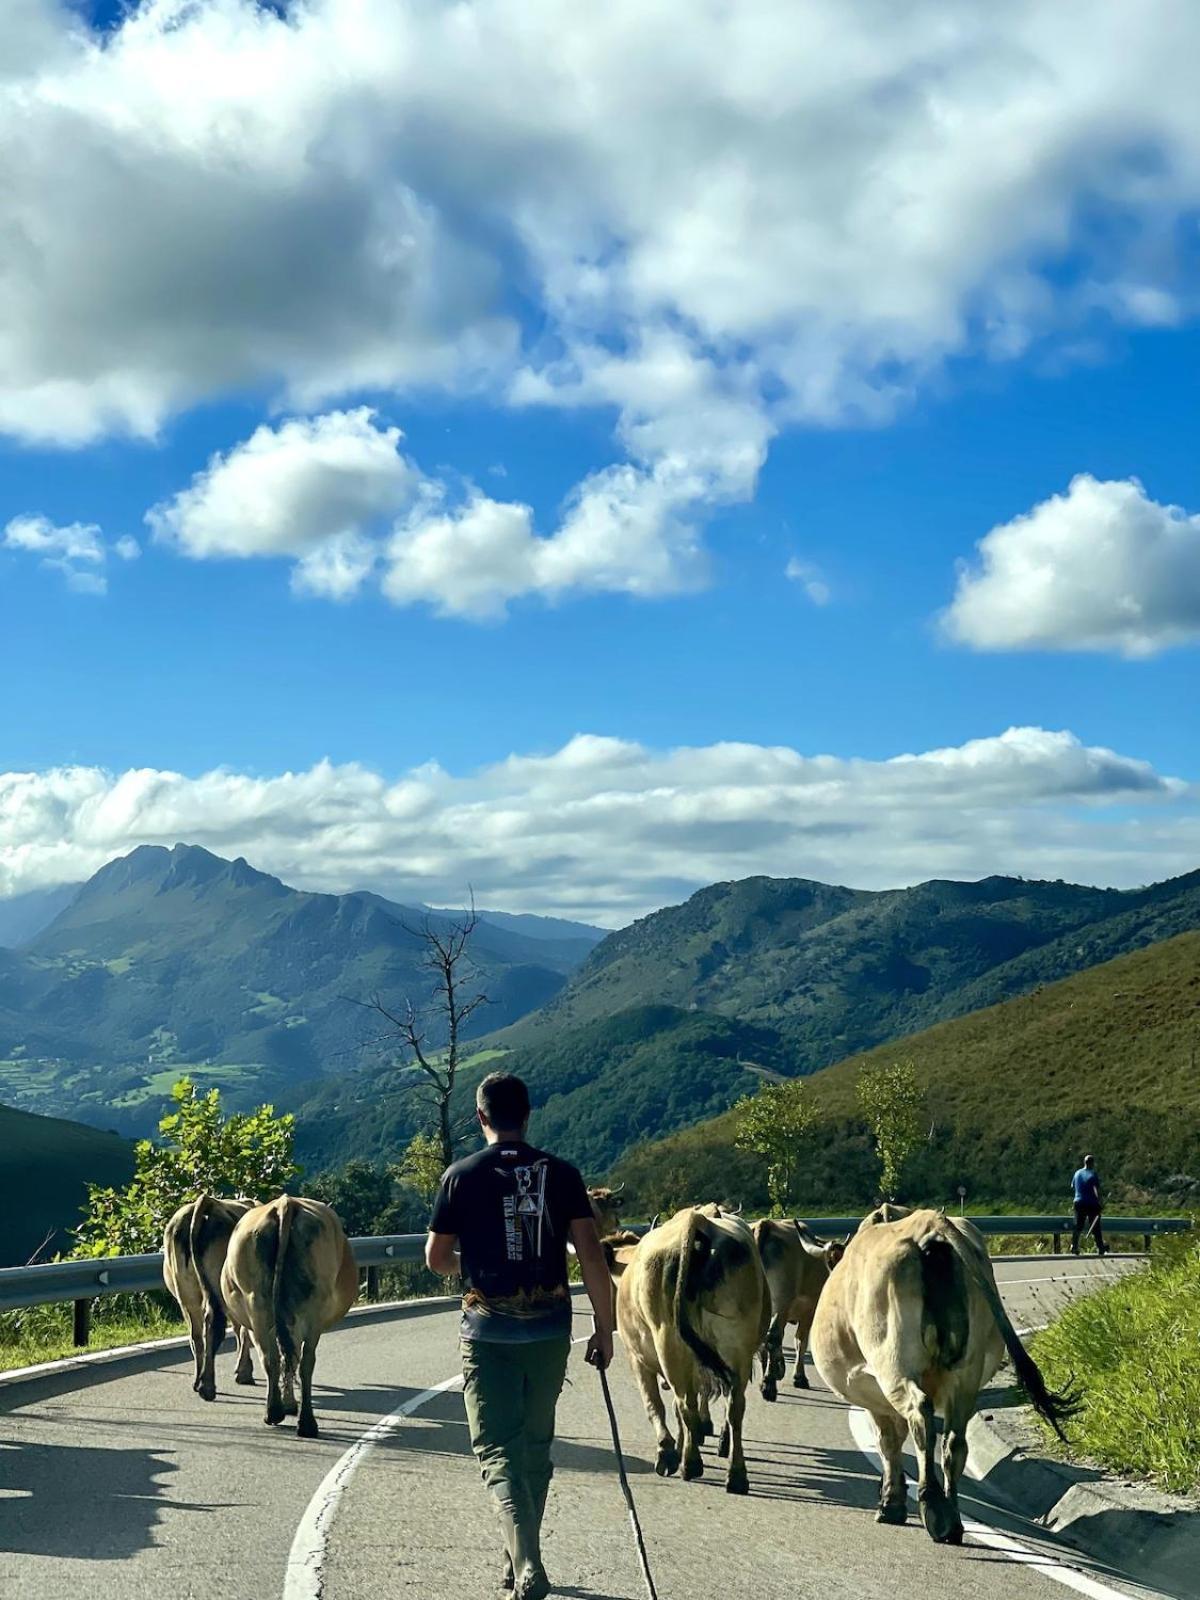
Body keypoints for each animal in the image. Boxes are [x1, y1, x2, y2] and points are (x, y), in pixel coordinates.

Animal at [163, 1190, 257, 1401]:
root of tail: (205, 1203)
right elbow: (244, 1330)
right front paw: (244, 1371)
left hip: (186, 1293)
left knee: (196, 1334)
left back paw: (198, 1381)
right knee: (213, 1325)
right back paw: (207, 1387)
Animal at [220, 1190, 360, 1440]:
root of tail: (286, 1204)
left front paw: (287, 1403)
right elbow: (291, 1357)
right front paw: (289, 1403)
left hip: (257, 1303)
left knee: (273, 1357)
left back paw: (277, 1413)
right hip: (310, 1307)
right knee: (302, 1360)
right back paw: (302, 1421)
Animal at [614, 1203, 774, 1491]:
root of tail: (700, 1219)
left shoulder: (636, 1358)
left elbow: (654, 1404)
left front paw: (668, 1451)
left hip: (669, 1340)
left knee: (684, 1403)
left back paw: (689, 1463)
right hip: (735, 1343)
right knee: (733, 1406)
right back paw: (735, 1474)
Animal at [755, 1222, 851, 1401]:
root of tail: (766, 1225)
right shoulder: (808, 1312)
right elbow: (801, 1341)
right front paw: (798, 1377)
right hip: (780, 1304)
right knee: (773, 1338)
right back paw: (769, 1385)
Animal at [809, 1203, 1081, 1542]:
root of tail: (932, 1225)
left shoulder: (872, 1394)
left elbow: (888, 1442)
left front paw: (890, 1503)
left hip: (893, 1363)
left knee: (920, 1414)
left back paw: (934, 1507)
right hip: (965, 1376)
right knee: (954, 1441)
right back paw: (952, 1519)